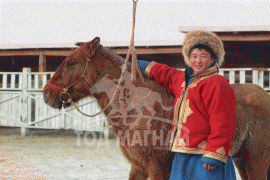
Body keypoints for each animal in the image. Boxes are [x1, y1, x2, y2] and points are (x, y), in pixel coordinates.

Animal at [42, 37, 270, 179]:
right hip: (241, 160)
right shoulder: (138, 167)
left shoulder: (157, 167)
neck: (136, 107)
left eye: (72, 63)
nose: (46, 94)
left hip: (257, 161)